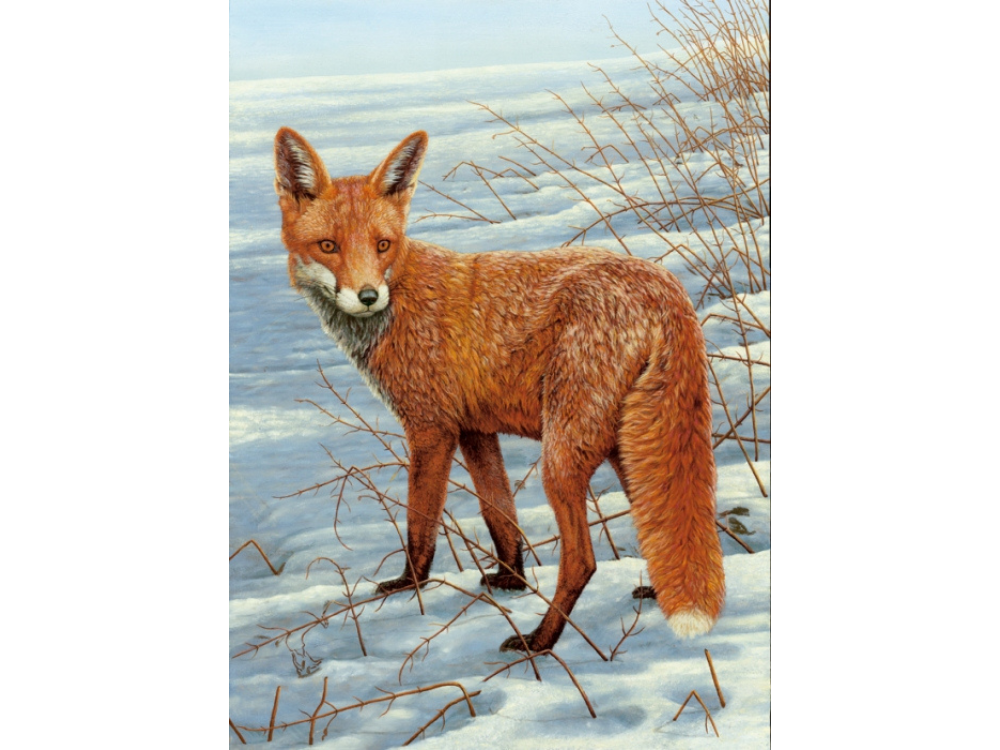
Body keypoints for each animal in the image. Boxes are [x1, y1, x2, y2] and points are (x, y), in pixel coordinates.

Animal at [273, 128, 725, 653]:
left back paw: (541, 640)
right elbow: (500, 516)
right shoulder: (475, 430)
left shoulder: (431, 430)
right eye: (328, 245)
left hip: (563, 454)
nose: (368, 296)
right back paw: (658, 590)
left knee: (583, 561)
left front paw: (409, 585)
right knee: (668, 521)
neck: (401, 295)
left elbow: (419, 525)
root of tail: (665, 288)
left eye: (383, 245)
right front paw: (511, 580)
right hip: (627, 444)